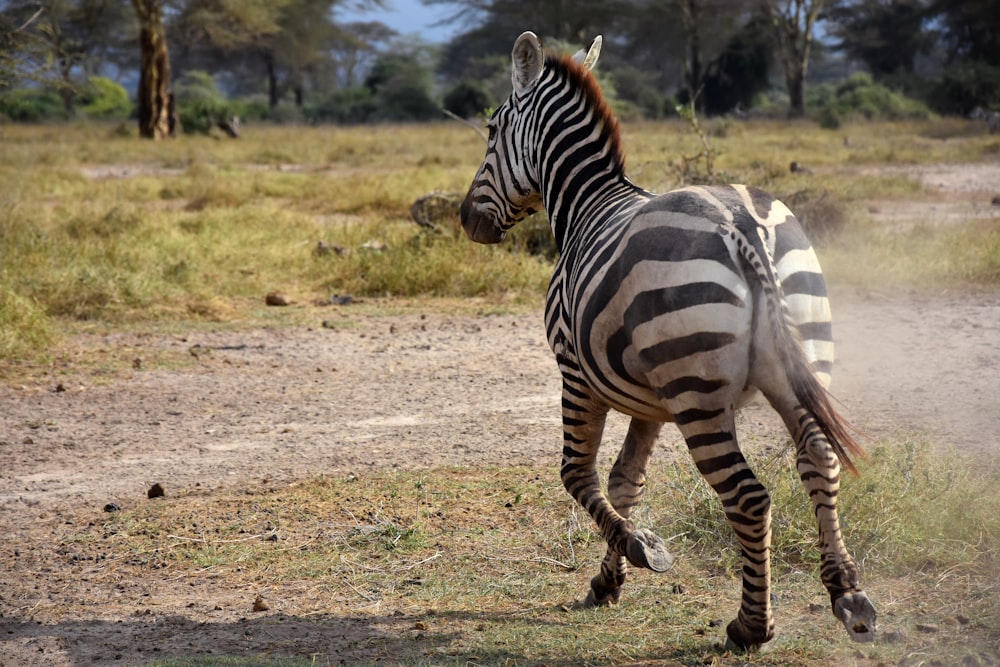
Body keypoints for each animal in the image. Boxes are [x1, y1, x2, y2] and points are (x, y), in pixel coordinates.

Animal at [460, 32, 876, 652]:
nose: (467, 220)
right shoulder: (648, 400)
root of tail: (742, 225)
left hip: (696, 392)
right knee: (819, 458)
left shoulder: (575, 373)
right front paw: (607, 580)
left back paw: (751, 627)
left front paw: (639, 548)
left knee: (748, 497)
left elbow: (576, 474)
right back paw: (847, 594)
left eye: (491, 130)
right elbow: (625, 480)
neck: (586, 204)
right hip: (798, 361)